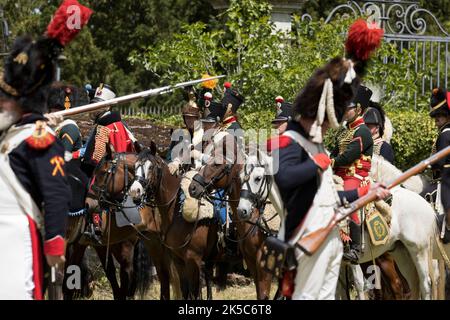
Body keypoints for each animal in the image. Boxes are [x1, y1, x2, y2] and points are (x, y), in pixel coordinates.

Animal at [237, 152, 444, 300]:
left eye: (257, 178)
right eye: (240, 177)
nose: (242, 211)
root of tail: (426, 204)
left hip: (419, 251)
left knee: (426, 285)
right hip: (401, 252)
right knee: (414, 284)